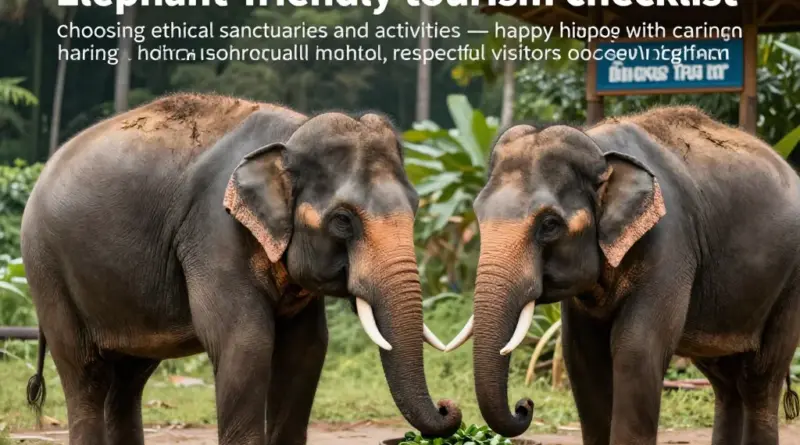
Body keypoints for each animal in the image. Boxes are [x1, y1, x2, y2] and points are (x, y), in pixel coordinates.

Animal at [20, 93, 461, 445]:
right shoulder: (214, 231)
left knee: (129, 379)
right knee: (85, 373)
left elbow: (307, 349)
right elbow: (245, 342)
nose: (447, 407)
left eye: (416, 206)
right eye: (342, 221)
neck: (291, 136)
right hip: (46, 269)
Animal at [446, 106, 800, 444]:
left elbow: (636, 349)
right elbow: (581, 355)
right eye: (477, 213)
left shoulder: (669, 242)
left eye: (549, 225)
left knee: (758, 380)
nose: (524, 405)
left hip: (790, 284)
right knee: (725, 383)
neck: (599, 149)